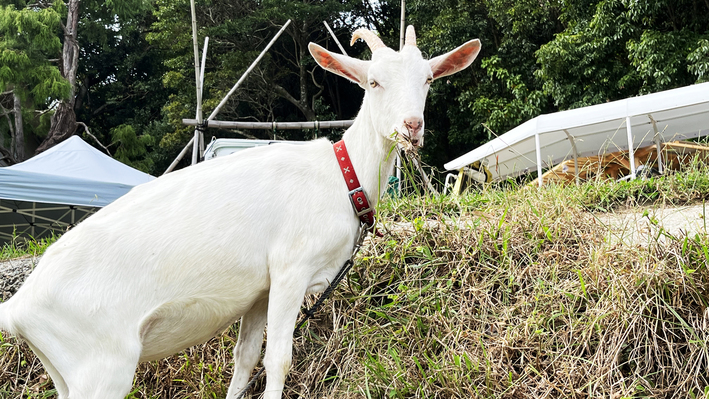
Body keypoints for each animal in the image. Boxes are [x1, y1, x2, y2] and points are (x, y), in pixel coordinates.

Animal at [0, 25, 482, 399]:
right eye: (374, 82)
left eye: (428, 80)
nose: (412, 126)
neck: (340, 176)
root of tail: (19, 306)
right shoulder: (290, 268)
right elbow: (279, 359)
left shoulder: (259, 291)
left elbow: (246, 359)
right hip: (100, 365)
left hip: (67, 369)